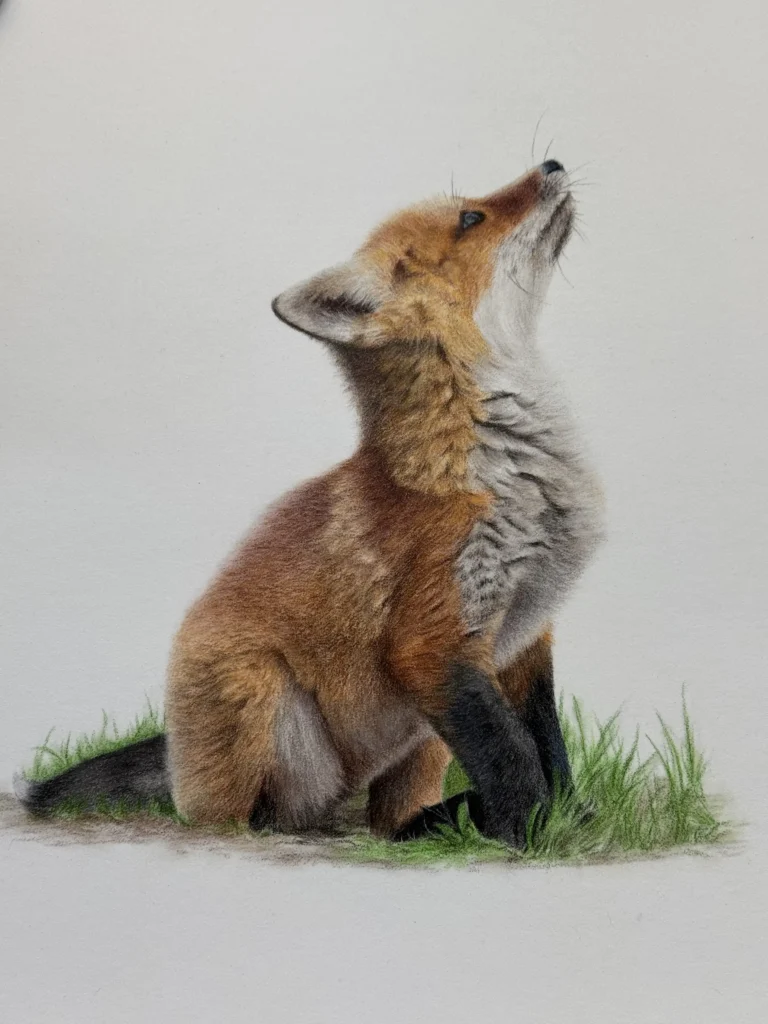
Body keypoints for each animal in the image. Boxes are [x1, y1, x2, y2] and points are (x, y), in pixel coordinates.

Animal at [14, 159, 604, 847]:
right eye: (470, 217)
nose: (553, 164)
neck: (516, 472)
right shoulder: (433, 642)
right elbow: (512, 754)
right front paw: (527, 834)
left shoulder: (525, 635)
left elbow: (547, 747)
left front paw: (565, 818)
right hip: (262, 694)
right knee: (238, 819)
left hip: (421, 741)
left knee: (389, 821)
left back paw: (431, 826)